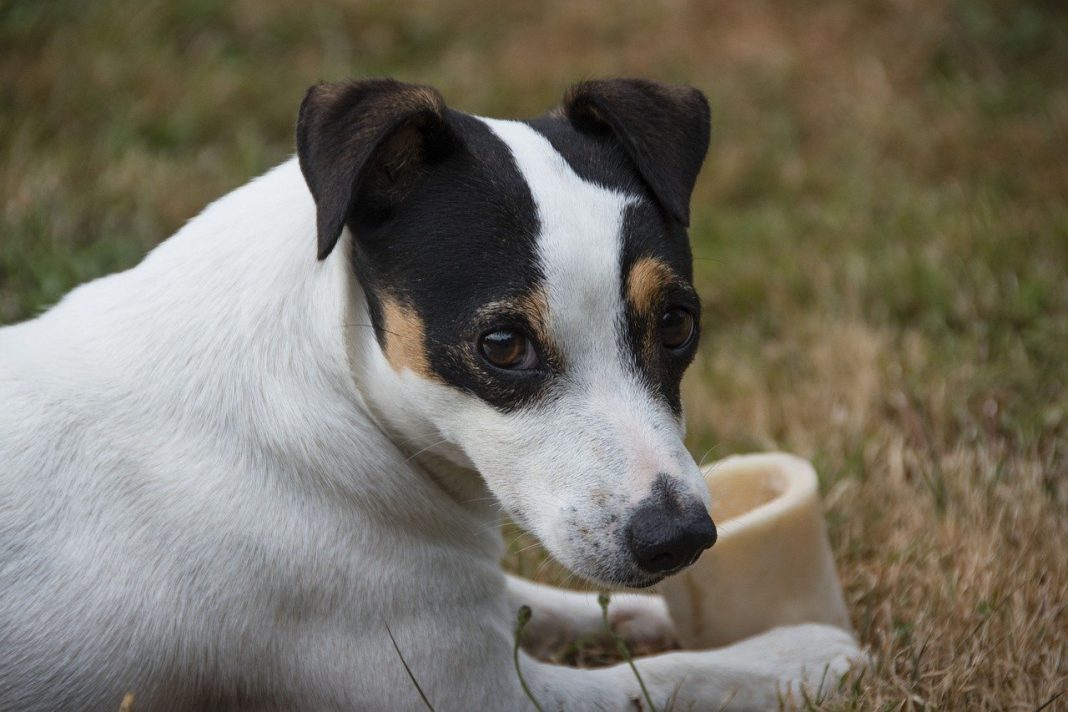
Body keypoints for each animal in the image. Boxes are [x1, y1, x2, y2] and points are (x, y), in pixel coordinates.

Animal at [0, 79, 858, 712]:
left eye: (678, 324)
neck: (340, 387)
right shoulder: (470, 691)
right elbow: (673, 681)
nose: (679, 539)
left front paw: (654, 617)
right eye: (502, 345)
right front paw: (803, 657)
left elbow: (547, 599)